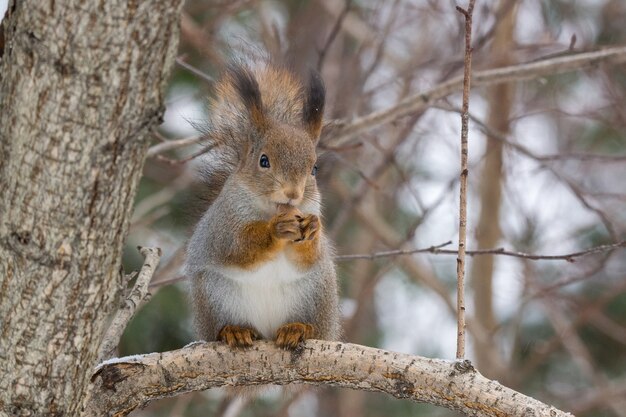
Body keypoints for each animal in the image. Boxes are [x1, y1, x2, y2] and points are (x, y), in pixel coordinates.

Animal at [184, 60, 338, 350]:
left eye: (314, 168)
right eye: (263, 161)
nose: (293, 193)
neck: (273, 209)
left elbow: (308, 258)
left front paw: (313, 229)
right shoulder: (225, 222)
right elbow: (239, 247)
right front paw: (275, 230)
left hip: (317, 294)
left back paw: (297, 328)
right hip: (214, 296)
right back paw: (234, 331)